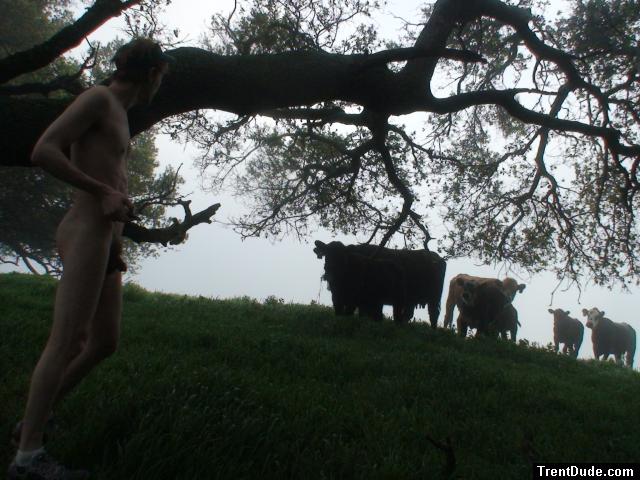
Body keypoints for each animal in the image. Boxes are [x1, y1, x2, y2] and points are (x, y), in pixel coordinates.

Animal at [314, 240, 447, 327]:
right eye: (326, 255)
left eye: (341, 256)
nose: (329, 269)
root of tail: (436, 257)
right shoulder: (339, 298)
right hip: (411, 300)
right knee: (407, 314)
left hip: (434, 298)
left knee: (433, 314)